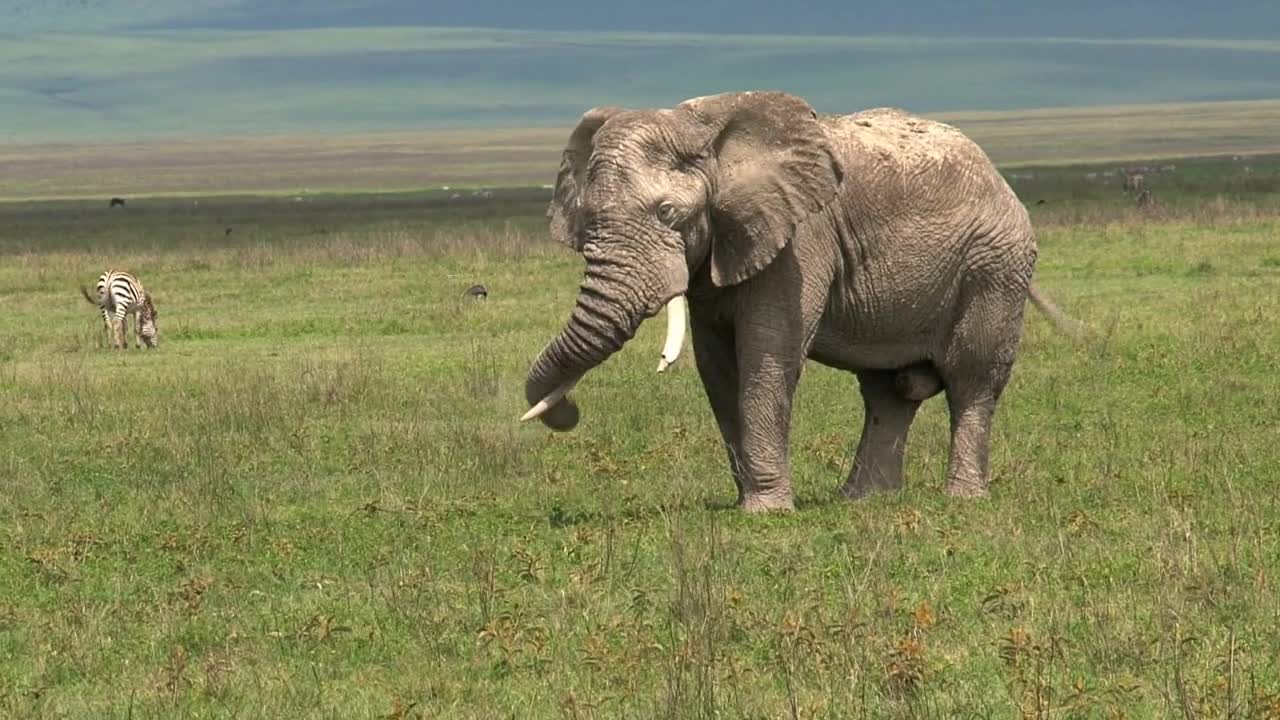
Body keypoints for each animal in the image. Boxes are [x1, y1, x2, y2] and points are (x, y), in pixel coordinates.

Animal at [519, 89, 1080, 512]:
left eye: (668, 213)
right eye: (588, 217)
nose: (568, 411)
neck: (705, 129)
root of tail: (998, 174)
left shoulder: (800, 239)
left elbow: (768, 355)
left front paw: (766, 511)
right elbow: (718, 366)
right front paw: (749, 500)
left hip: (994, 266)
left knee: (973, 380)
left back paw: (961, 499)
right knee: (888, 393)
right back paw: (862, 500)